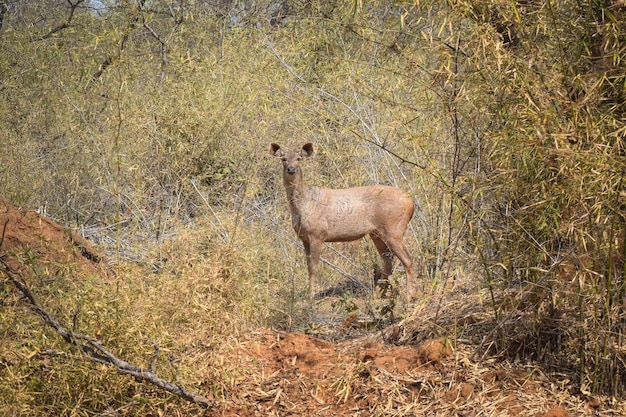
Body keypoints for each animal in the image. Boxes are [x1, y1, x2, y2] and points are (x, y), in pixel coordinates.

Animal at [268, 142, 414, 300]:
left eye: (299, 158)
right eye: (283, 159)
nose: (291, 169)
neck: (302, 205)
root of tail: (411, 202)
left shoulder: (317, 234)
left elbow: (313, 267)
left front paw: (310, 296)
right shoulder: (304, 237)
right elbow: (308, 266)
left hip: (394, 229)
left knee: (407, 259)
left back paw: (408, 296)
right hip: (377, 233)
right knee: (388, 260)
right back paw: (376, 294)